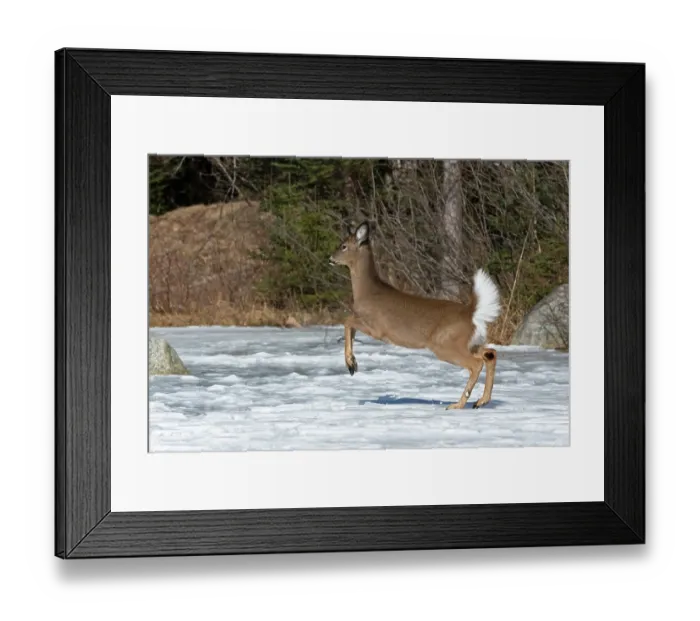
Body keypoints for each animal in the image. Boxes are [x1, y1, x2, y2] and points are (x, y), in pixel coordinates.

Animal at [329, 221, 501, 409]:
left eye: (343, 246)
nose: (330, 258)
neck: (366, 292)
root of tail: (471, 313)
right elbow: (350, 328)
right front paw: (353, 362)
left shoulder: (376, 328)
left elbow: (347, 321)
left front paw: (350, 364)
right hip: (469, 343)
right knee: (490, 354)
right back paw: (481, 401)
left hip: (445, 344)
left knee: (476, 363)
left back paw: (458, 404)